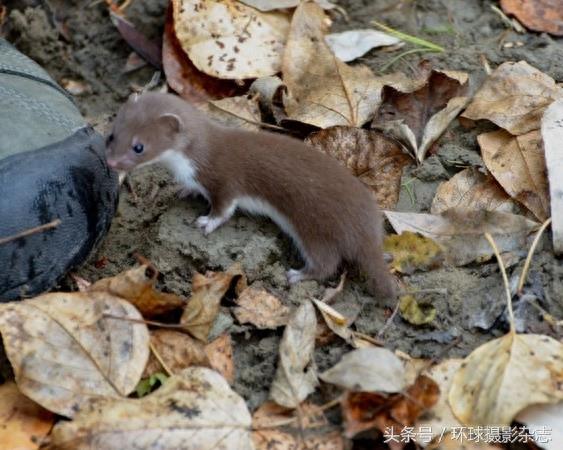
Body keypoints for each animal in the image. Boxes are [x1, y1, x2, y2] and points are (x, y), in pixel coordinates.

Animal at [106, 93, 396, 298]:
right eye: (112, 134)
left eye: (139, 146)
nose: (110, 162)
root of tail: (365, 229)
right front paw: (185, 190)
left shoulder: (222, 179)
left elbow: (224, 208)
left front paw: (206, 222)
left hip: (316, 229)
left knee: (327, 263)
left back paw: (297, 275)